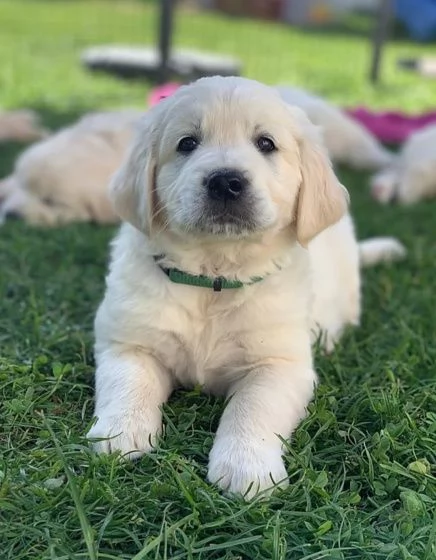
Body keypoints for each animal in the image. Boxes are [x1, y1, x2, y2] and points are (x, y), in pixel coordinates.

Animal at [87, 74, 406, 498]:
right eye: (187, 143)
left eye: (265, 143)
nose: (225, 181)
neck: (214, 278)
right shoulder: (129, 343)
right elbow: (127, 384)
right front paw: (118, 435)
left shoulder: (279, 365)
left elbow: (252, 409)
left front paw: (246, 467)